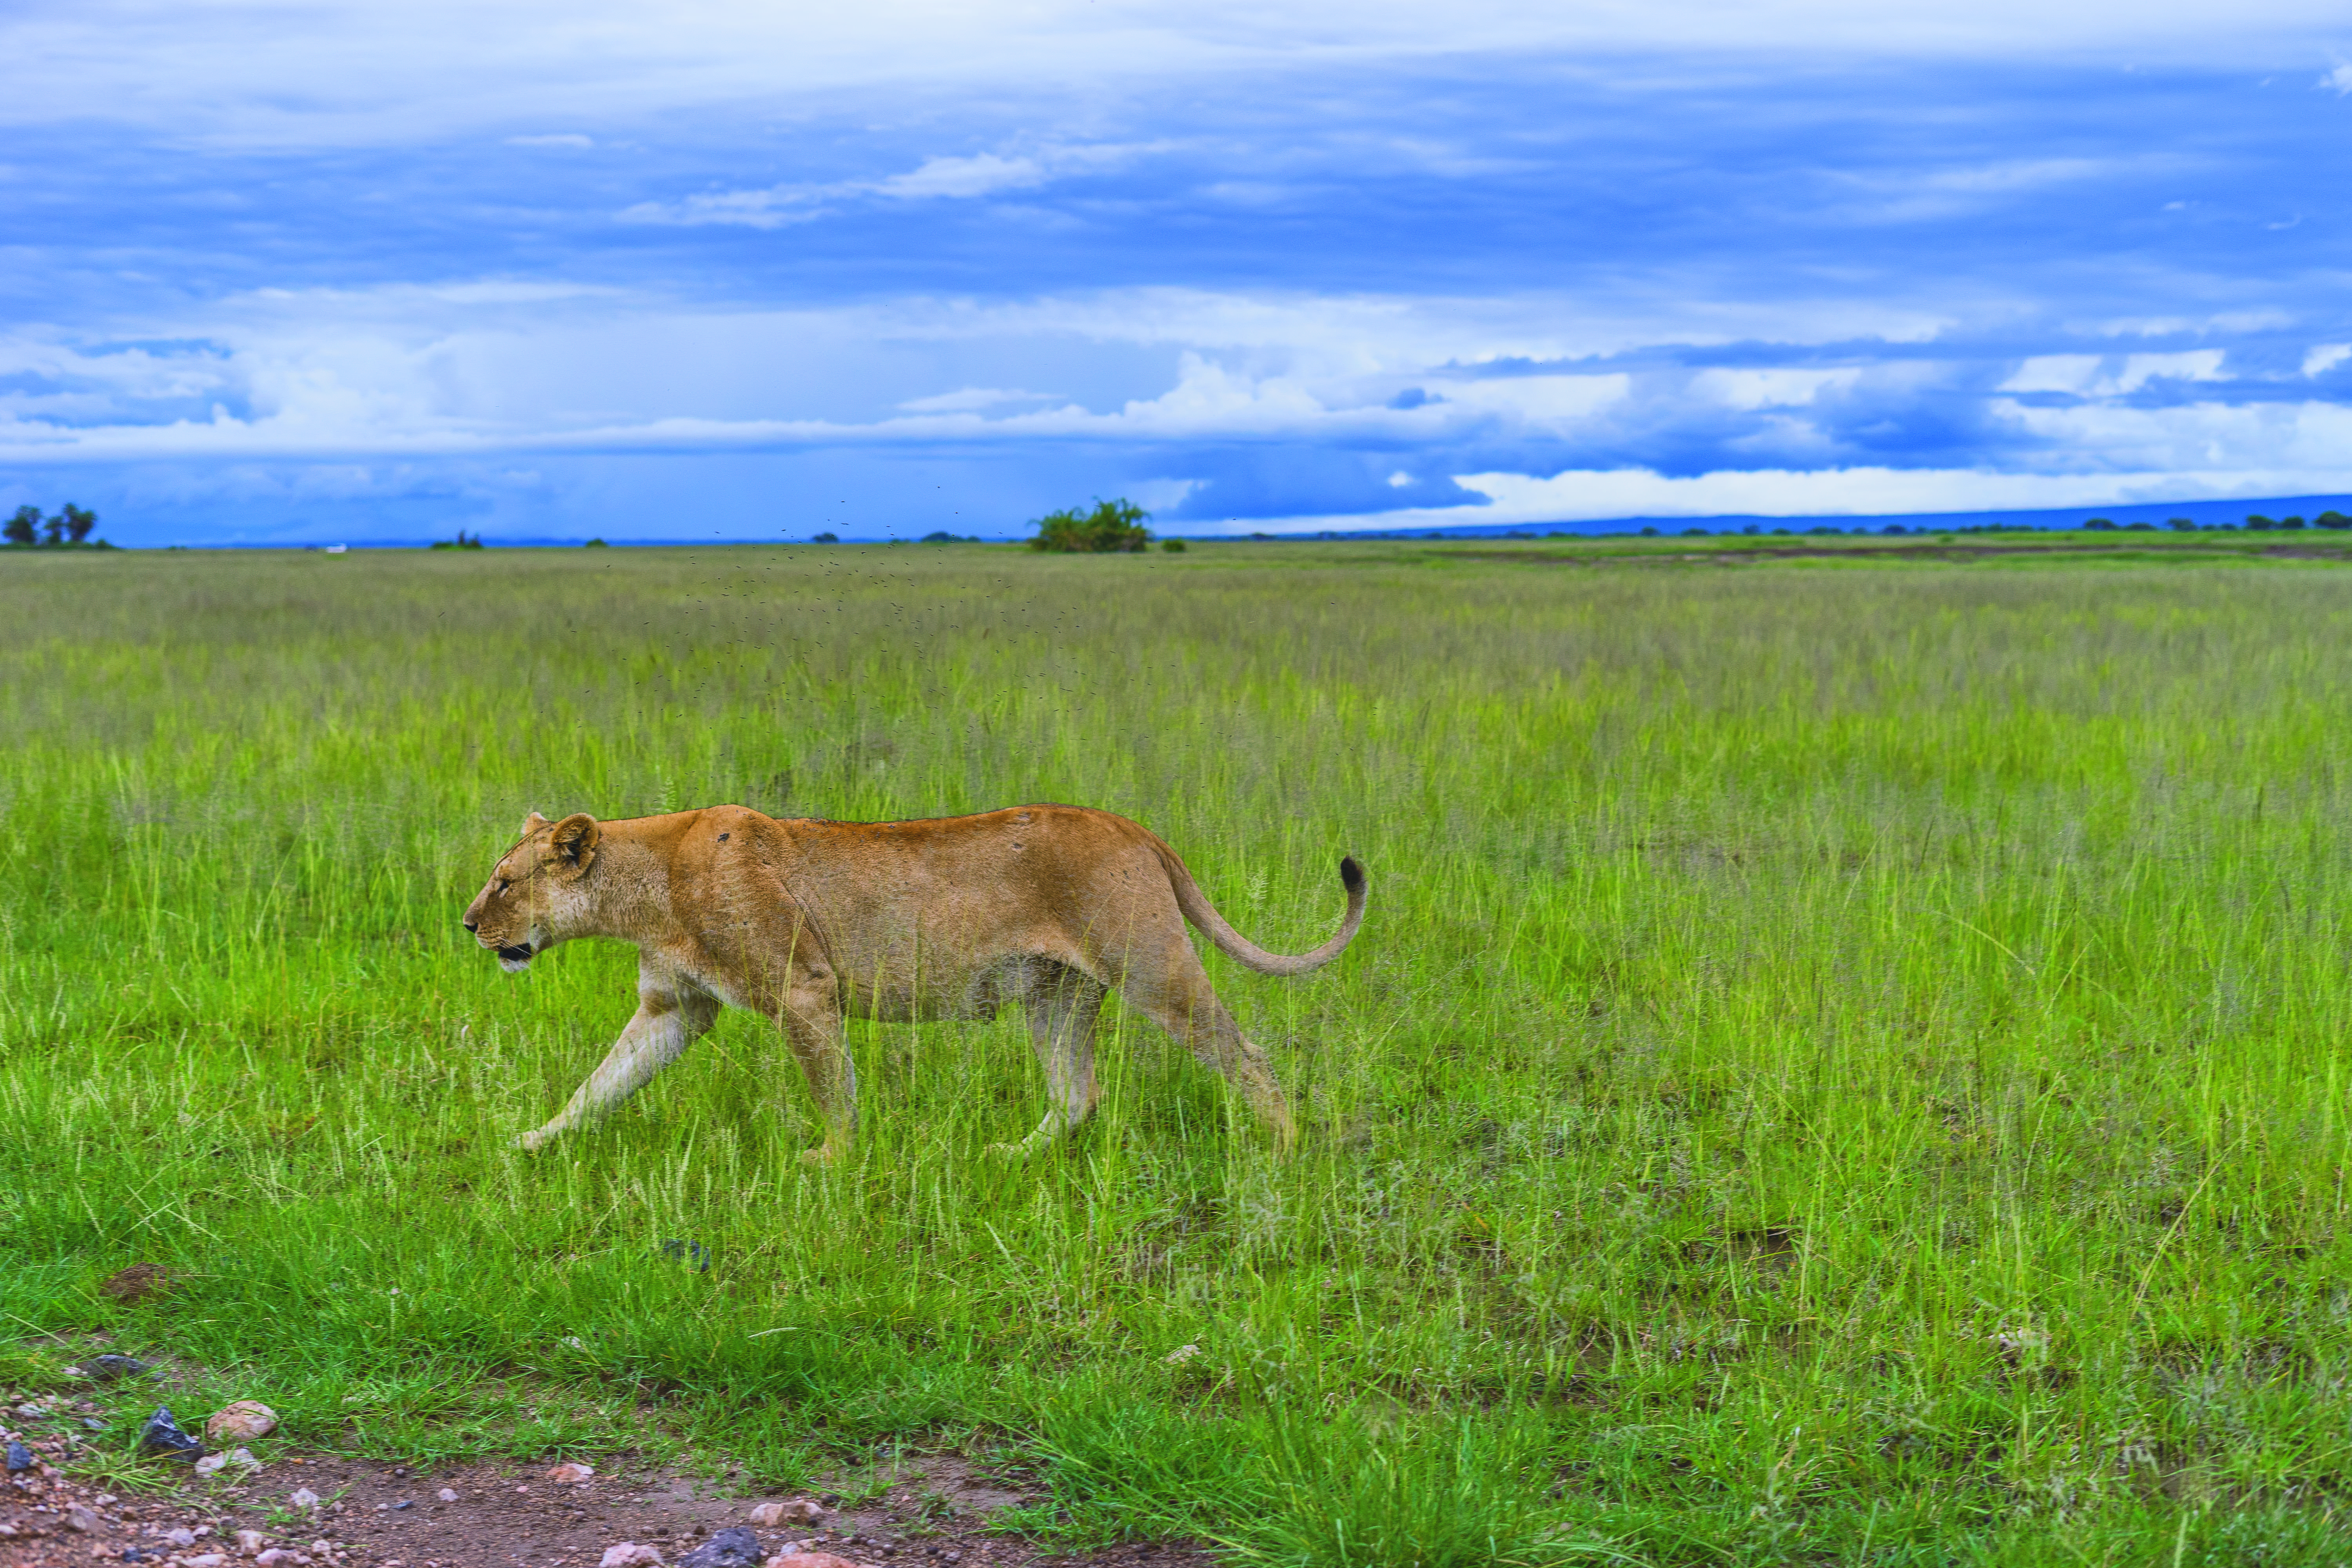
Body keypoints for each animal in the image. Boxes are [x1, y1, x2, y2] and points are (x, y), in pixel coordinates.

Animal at [462, 803, 1366, 1161]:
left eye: (503, 882)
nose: (468, 926)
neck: (646, 892)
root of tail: (1134, 826)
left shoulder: (803, 986)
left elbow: (833, 1085)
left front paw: (834, 1160)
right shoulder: (672, 1009)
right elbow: (600, 1084)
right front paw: (532, 1142)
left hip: (1151, 965)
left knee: (1247, 1055)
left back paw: (1285, 1150)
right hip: (1056, 993)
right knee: (1078, 1094)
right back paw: (1013, 1156)